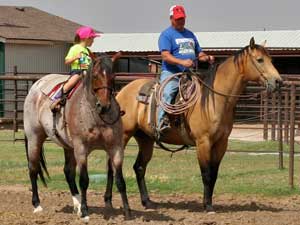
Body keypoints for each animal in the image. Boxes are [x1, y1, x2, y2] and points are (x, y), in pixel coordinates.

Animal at [23, 52, 131, 221]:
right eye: (95, 75)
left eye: (113, 76)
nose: (104, 105)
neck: (96, 116)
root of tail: (36, 86)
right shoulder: (81, 149)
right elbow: (84, 179)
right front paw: (86, 212)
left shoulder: (116, 148)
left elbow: (120, 180)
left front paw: (127, 212)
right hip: (34, 138)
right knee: (33, 169)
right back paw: (37, 205)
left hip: (68, 146)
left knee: (68, 172)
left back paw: (78, 205)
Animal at [104, 37, 282, 212]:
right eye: (259, 60)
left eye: (271, 59)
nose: (278, 81)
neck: (214, 100)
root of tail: (123, 91)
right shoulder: (203, 142)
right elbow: (206, 174)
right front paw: (208, 206)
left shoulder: (221, 143)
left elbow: (214, 174)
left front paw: (208, 202)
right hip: (124, 135)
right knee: (112, 166)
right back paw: (108, 201)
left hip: (145, 139)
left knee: (139, 167)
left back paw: (147, 202)